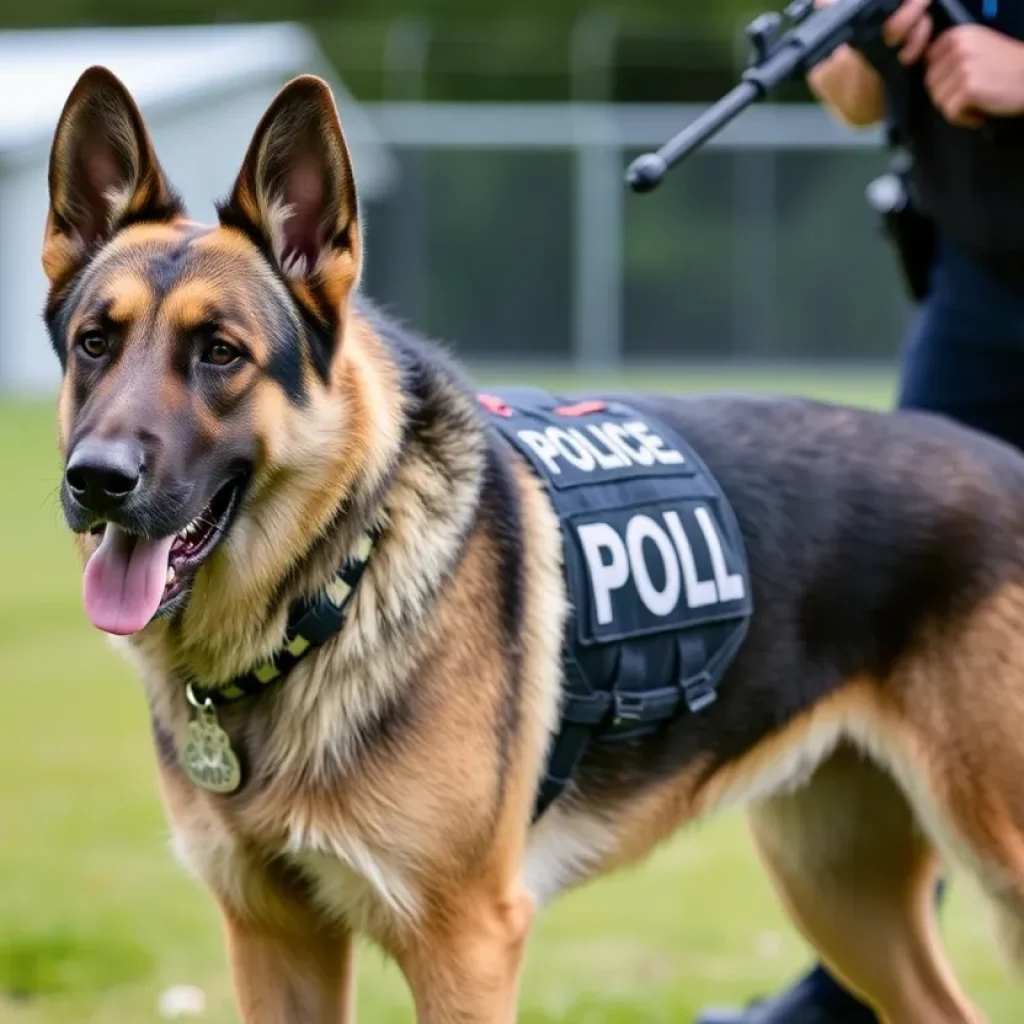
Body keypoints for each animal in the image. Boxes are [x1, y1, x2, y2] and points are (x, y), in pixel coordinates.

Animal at [44, 66, 1024, 1024]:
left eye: (220, 352)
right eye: (95, 343)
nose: (96, 480)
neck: (336, 587)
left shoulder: (467, 943)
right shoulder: (273, 935)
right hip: (835, 889)